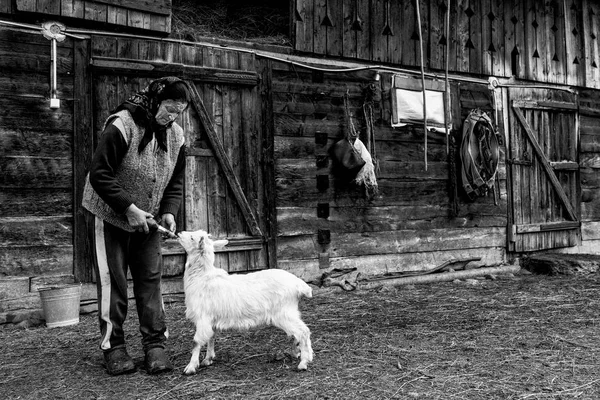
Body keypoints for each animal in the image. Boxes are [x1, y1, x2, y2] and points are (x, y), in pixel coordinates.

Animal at [177, 230, 314, 374]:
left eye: (192, 237)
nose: (179, 233)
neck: (201, 277)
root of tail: (299, 284)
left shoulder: (202, 317)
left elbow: (197, 341)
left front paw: (191, 367)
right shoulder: (211, 319)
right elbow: (211, 337)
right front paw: (208, 359)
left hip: (283, 313)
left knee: (303, 331)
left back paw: (304, 362)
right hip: (290, 312)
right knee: (298, 333)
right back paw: (298, 352)